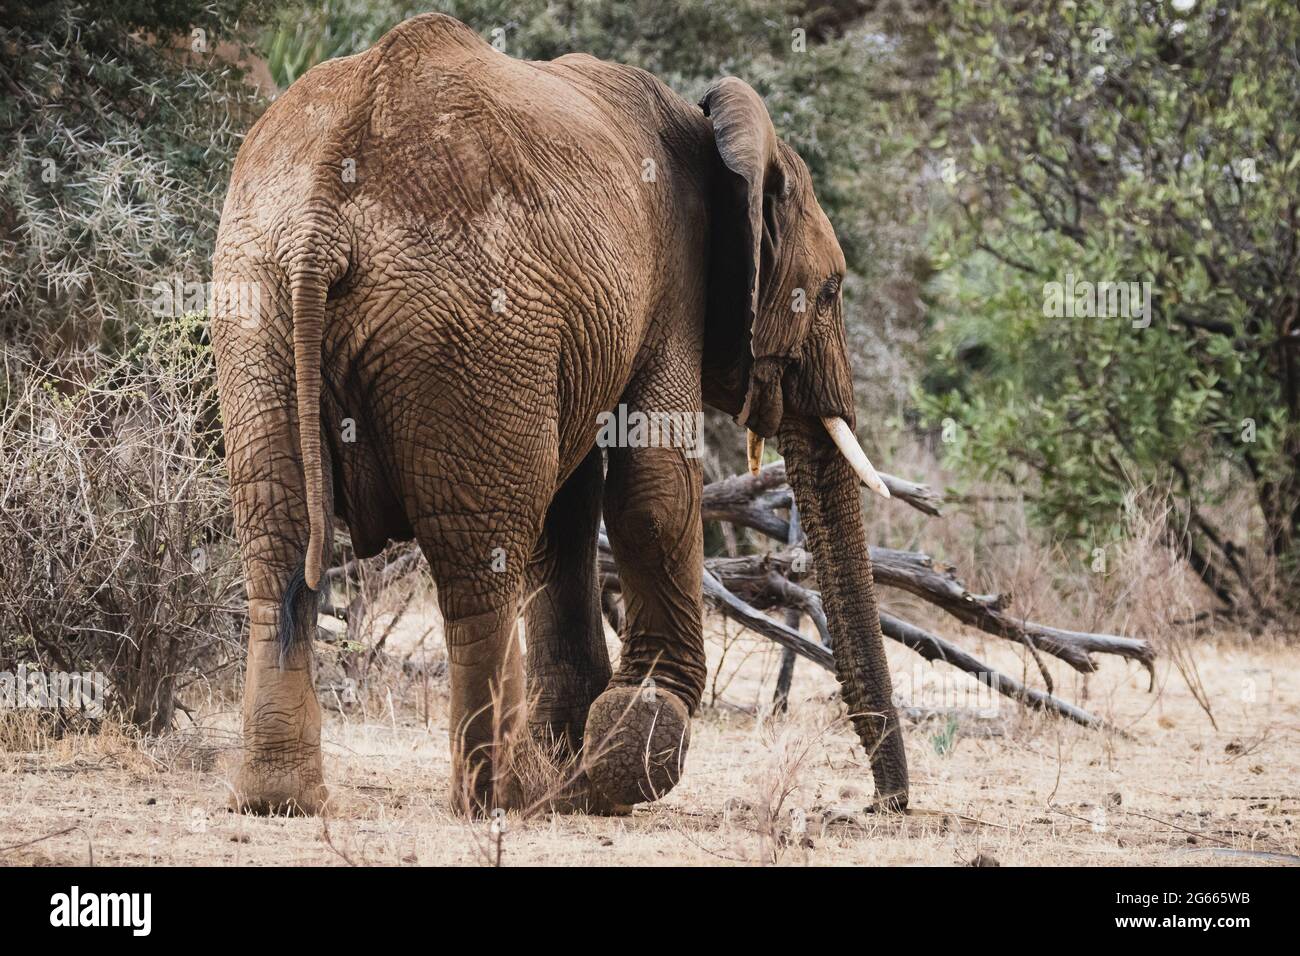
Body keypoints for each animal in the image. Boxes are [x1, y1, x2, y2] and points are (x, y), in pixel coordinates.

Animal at [211, 12, 908, 816]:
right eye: (830, 291)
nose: (878, 806)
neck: (719, 135)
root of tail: (326, 207)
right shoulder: (672, 291)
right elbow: (654, 495)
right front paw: (632, 744)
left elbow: (570, 515)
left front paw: (583, 758)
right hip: (471, 331)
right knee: (478, 567)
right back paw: (504, 796)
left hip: (255, 309)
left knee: (279, 546)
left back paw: (283, 799)